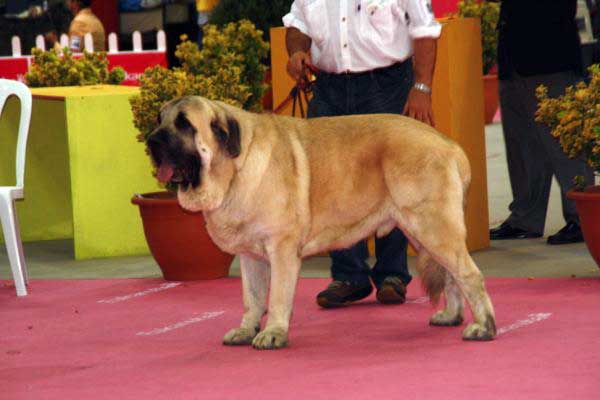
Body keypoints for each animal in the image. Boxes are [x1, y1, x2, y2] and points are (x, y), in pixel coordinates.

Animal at [149, 95, 496, 348]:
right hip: (424, 233)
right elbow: (252, 298)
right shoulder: (251, 257)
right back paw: (451, 315)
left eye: (184, 124)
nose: (151, 141)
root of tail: (449, 145)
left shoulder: (282, 250)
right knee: (451, 275)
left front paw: (273, 333)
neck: (235, 166)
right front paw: (247, 329)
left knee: (469, 275)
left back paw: (484, 327)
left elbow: (277, 297)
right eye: (159, 119)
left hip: (433, 227)